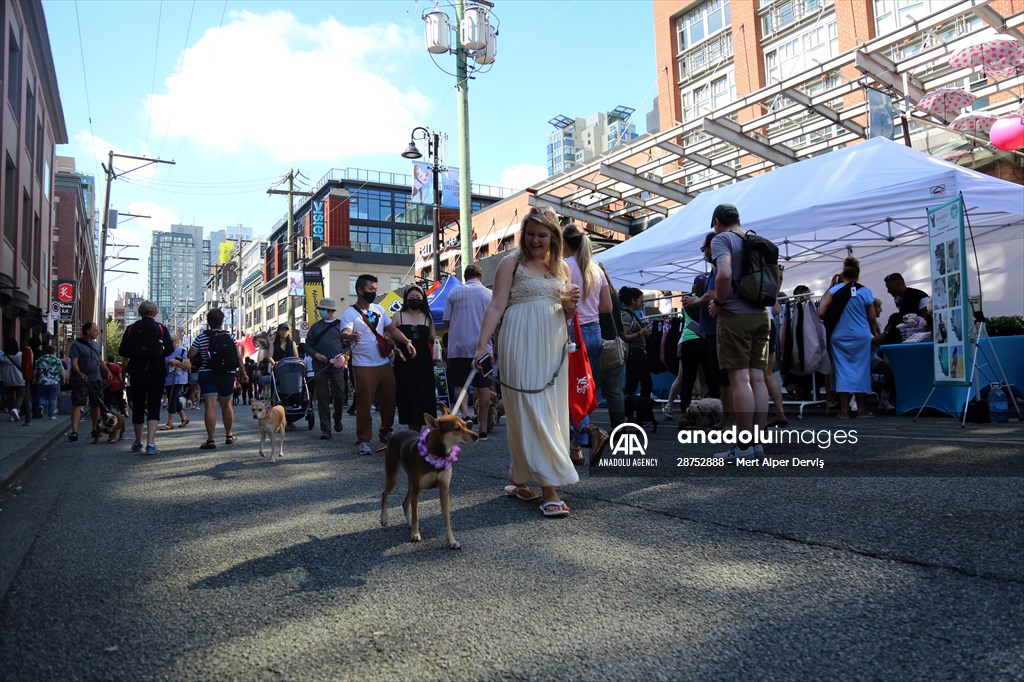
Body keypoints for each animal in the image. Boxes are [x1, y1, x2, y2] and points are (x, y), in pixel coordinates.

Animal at [380, 403, 479, 548]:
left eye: (466, 425)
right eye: (457, 428)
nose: (476, 436)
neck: (438, 453)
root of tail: (394, 435)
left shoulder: (444, 490)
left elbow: (447, 519)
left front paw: (452, 541)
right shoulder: (417, 490)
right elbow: (416, 514)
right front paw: (415, 534)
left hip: (412, 482)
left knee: (405, 503)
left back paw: (408, 524)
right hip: (393, 476)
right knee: (385, 495)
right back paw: (384, 518)